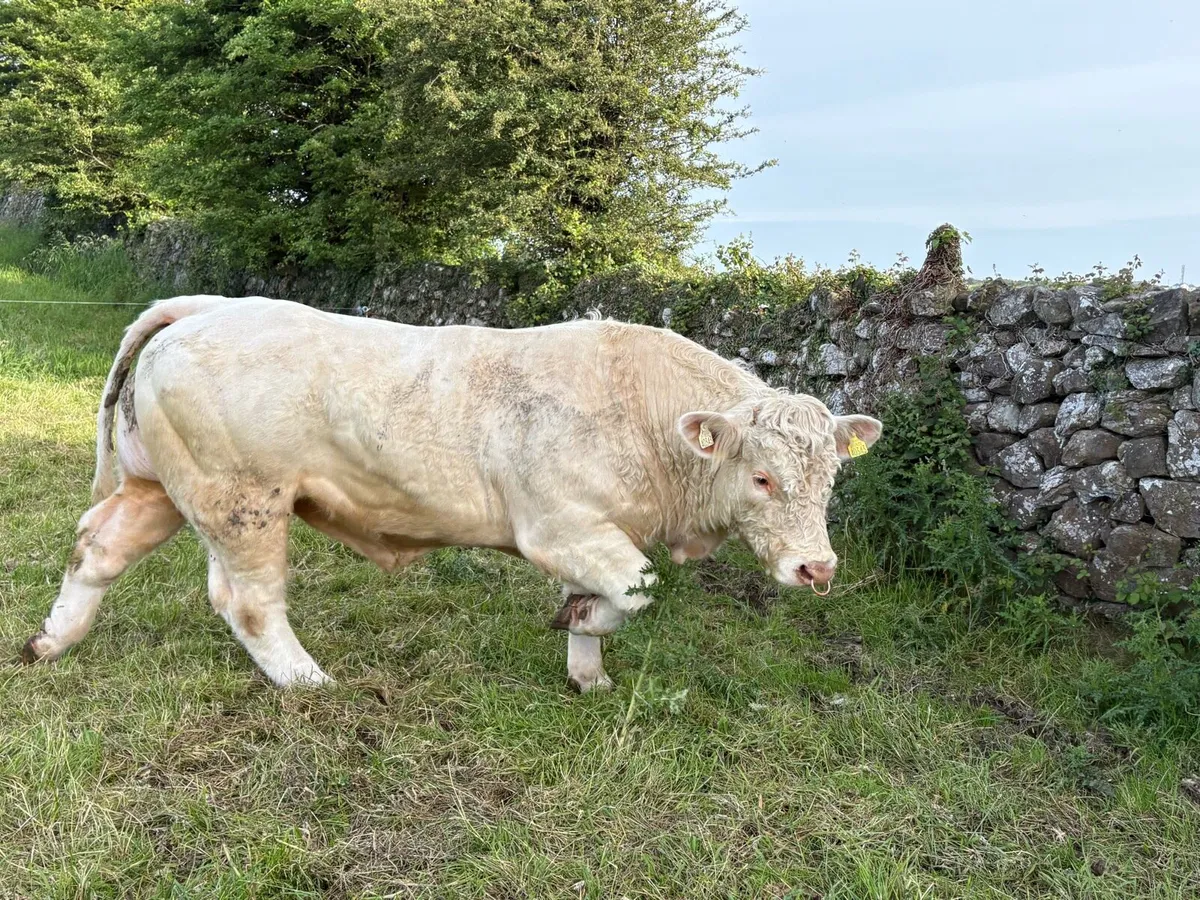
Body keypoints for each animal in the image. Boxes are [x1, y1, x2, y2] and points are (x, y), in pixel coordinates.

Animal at [21, 296, 881, 692]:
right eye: (763, 477)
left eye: (832, 480)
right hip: (245, 500)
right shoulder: (560, 525)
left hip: (160, 487)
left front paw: (588, 671)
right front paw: (584, 626)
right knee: (249, 602)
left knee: (97, 547)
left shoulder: (594, 531)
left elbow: (598, 606)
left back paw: (50, 643)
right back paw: (308, 681)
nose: (817, 569)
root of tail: (208, 305)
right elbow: (635, 591)